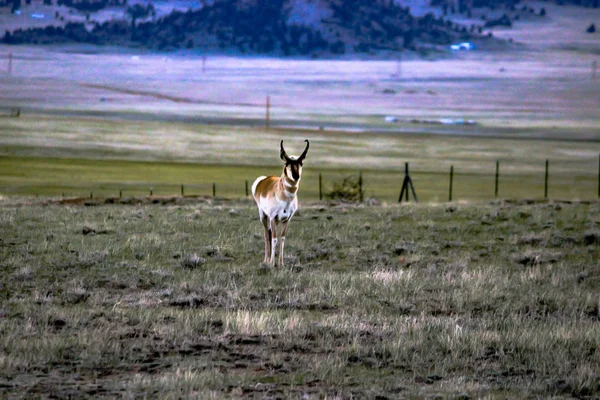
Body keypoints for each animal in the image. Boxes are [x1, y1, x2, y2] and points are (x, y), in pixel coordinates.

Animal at [252, 139, 310, 268]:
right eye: (287, 163)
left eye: (301, 163)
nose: (296, 176)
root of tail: (263, 180)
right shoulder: (273, 218)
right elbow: (274, 239)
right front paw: (272, 263)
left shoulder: (287, 219)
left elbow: (282, 239)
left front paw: (281, 263)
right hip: (263, 216)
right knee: (266, 234)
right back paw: (266, 260)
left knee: (269, 233)